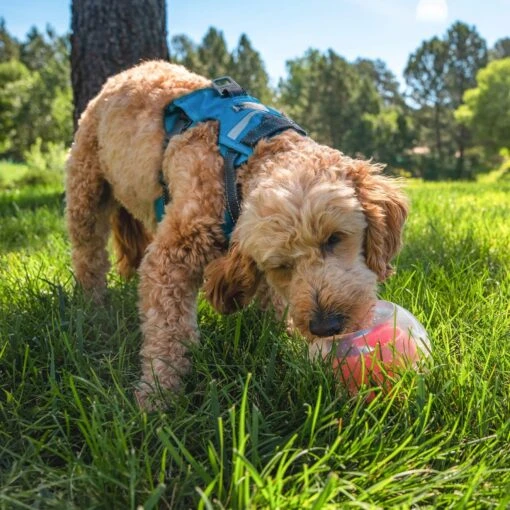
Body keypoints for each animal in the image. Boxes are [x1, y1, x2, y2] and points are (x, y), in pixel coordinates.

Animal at [65, 60, 408, 410]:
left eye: (334, 238)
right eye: (283, 265)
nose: (326, 326)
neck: (245, 159)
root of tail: (126, 73)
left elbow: (272, 303)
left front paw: (289, 345)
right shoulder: (170, 258)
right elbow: (167, 331)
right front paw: (158, 395)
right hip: (86, 192)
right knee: (88, 255)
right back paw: (93, 304)